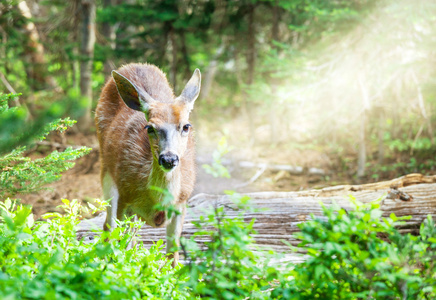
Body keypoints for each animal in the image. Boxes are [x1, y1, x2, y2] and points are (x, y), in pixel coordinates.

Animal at [95, 62, 201, 266]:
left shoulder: (182, 203)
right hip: (106, 170)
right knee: (108, 226)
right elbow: (121, 243)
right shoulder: (125, 196)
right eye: (150, 128)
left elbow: (173, 254)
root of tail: (133, 65)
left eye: (186, 126)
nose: (169, 158)